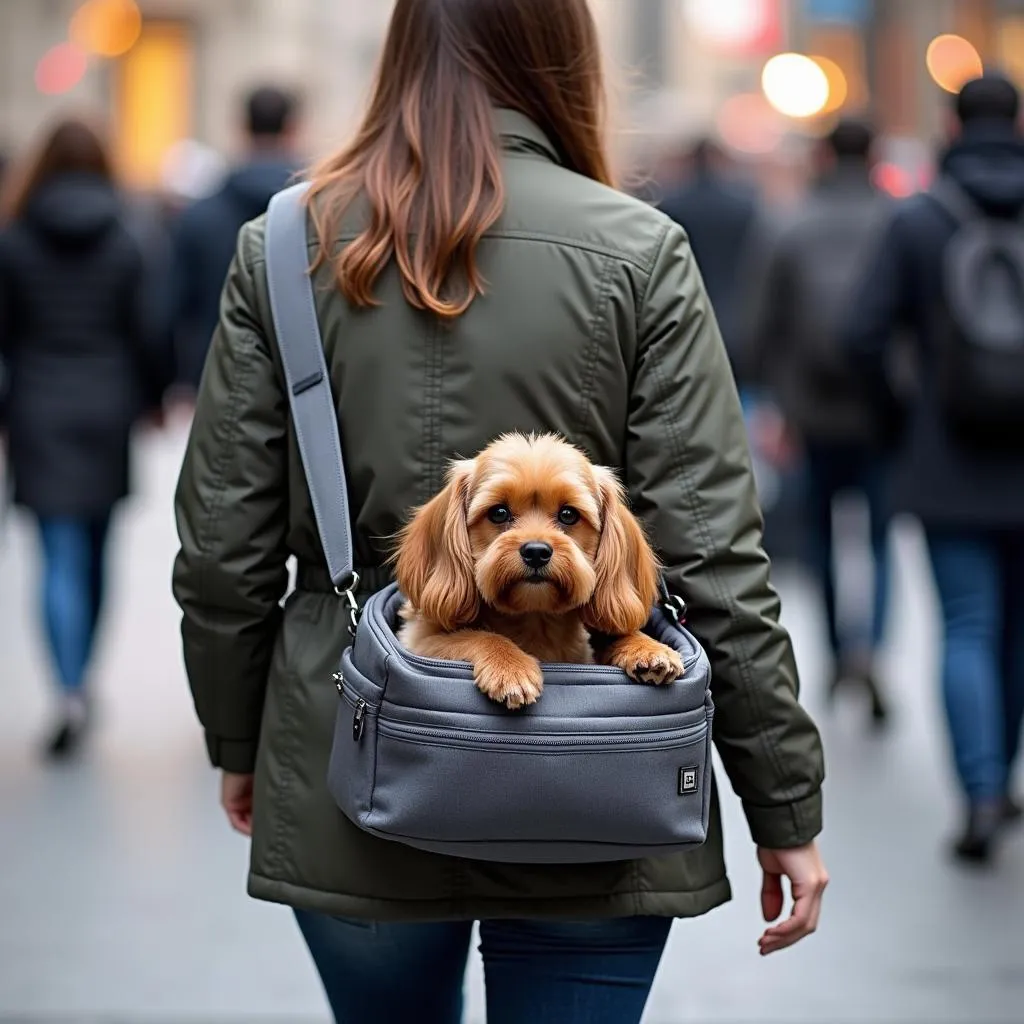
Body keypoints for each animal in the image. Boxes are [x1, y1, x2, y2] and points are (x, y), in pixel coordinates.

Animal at [395, 430, 684, 704]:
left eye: (568, 514)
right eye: (498, 513)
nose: (536, 552)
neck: (534, 617)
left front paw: (646, 647)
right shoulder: (418, 641)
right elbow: (473, 636)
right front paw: (511, 667)